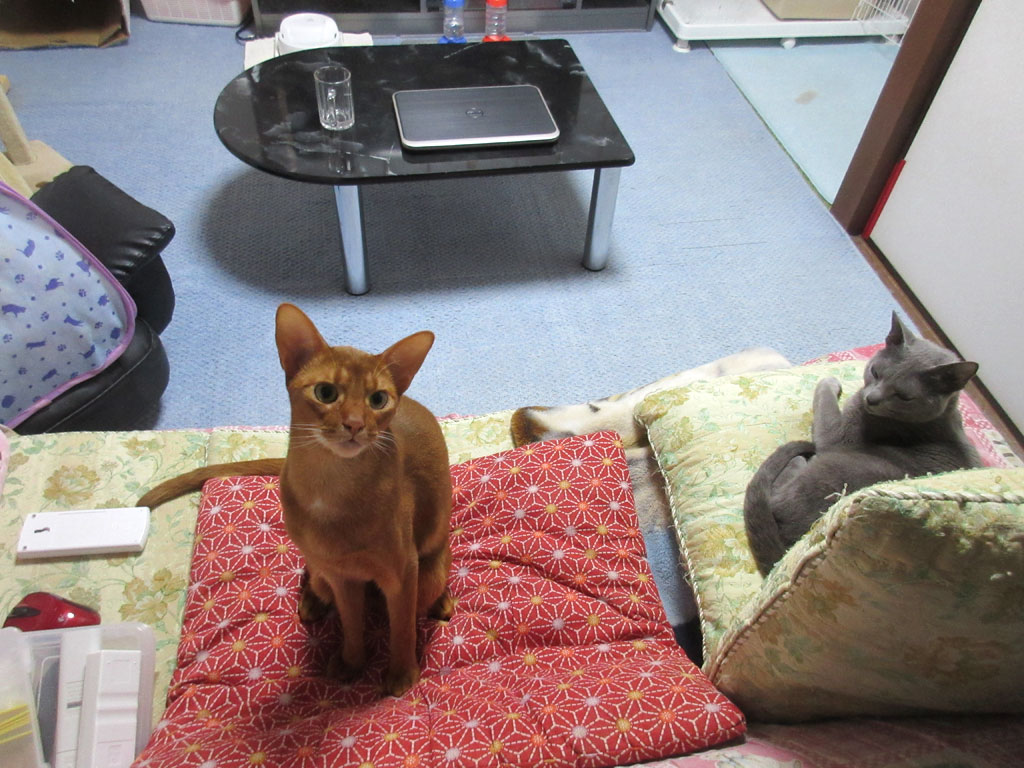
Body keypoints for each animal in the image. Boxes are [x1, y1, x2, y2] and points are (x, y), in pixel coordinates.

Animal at [138, 303, 453, 697]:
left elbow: (402, 628)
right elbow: (352, 624)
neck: (330, 488)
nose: (354, 424)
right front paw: (351, 662)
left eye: (378, 399)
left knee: (429, 587)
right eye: (326, 393)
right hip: (324, 569)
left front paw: (401, 673)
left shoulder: (402, 571)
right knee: (313, 574)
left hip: (428, 572)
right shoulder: (342, 576)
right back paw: (312, 600)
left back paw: (441, 601)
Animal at [744, 312, 981, 576]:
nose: (872, 398)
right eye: (876, 372)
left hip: (837, 469)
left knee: (777, 495)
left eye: (904, 396)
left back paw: (797, 462)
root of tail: (786, 553)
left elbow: (824, 397)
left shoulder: (837, 435)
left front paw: (829, 380)